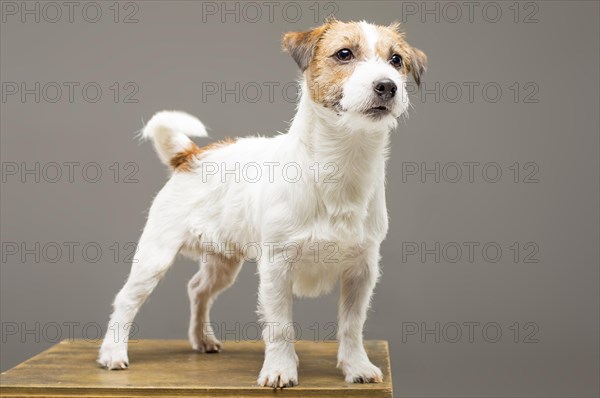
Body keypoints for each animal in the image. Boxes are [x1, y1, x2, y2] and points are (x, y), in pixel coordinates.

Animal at [98, 19, 424, 388]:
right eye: (344, 54)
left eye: (396, 60)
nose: (387, 86)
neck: (341, 163)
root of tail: (191, 155)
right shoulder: (277, 268)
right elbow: (280, 326)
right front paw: (281, 369)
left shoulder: (361, 270)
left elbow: (352, 325)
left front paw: (356, 366)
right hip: (155, 256)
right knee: (126, 299)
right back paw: (113, 353)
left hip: (223, 262)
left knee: (198, 289)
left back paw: (202, 339)